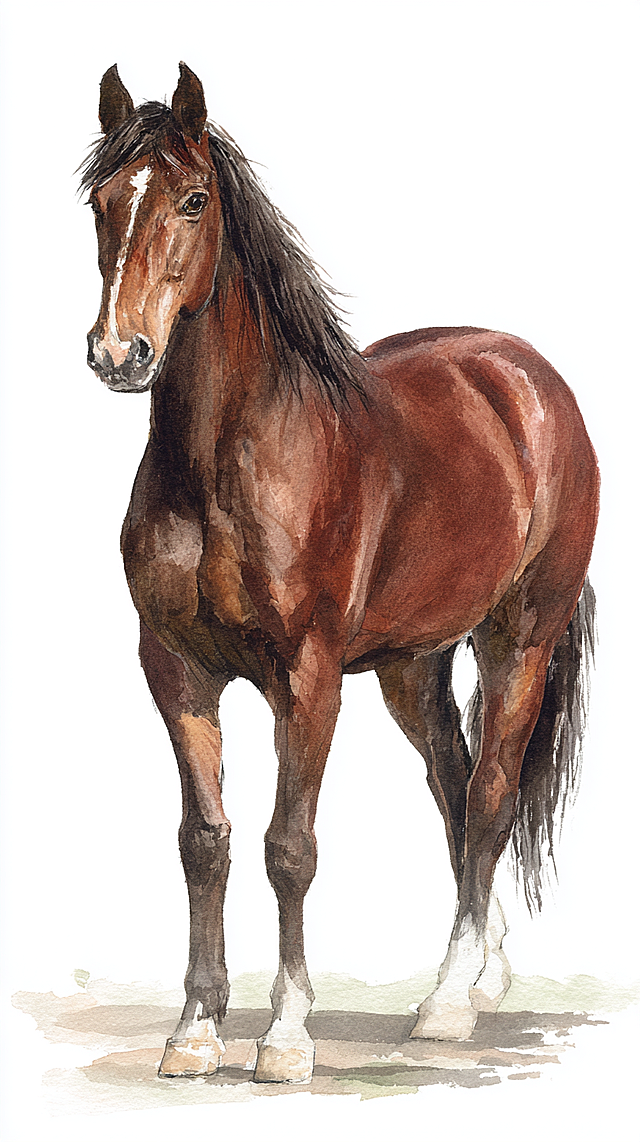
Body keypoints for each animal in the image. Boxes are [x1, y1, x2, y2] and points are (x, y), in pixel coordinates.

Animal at [81, 62, 599, 1084]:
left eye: (193, 201)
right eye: (100, 201)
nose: (120, 354)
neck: (229, 459)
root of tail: (528, 379)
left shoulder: (309, 678)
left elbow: (290, 847)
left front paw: (285, 1037)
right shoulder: (175, 671)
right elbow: (205, 843)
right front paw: (195, 1030)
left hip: (516, 643)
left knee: (490, 797)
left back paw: (446, 1007)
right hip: (413, 667)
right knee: (454, 787)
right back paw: (482, 974)